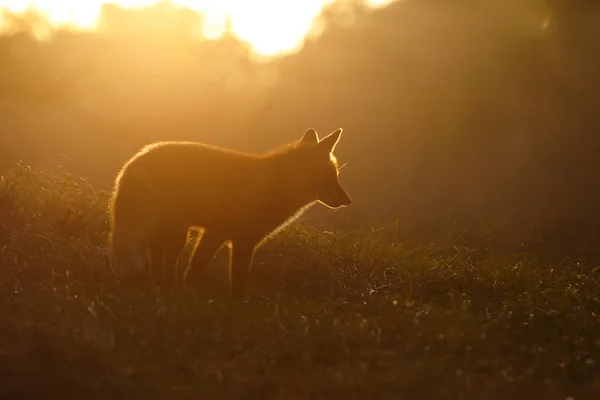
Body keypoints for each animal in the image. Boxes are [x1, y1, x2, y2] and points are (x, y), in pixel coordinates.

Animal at [107, 126, 352, 298]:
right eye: (331, 177)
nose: (348, 201)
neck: (277, 186)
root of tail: (131, 164)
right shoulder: (241, 241)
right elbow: (235, 281)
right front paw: (235, 304)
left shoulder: (217, 234)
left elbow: (196, 269)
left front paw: (189, 292)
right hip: (175, 235)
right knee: (161, 263)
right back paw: (164, 288)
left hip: (173, 234)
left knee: (159, 264)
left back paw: (163, 288)